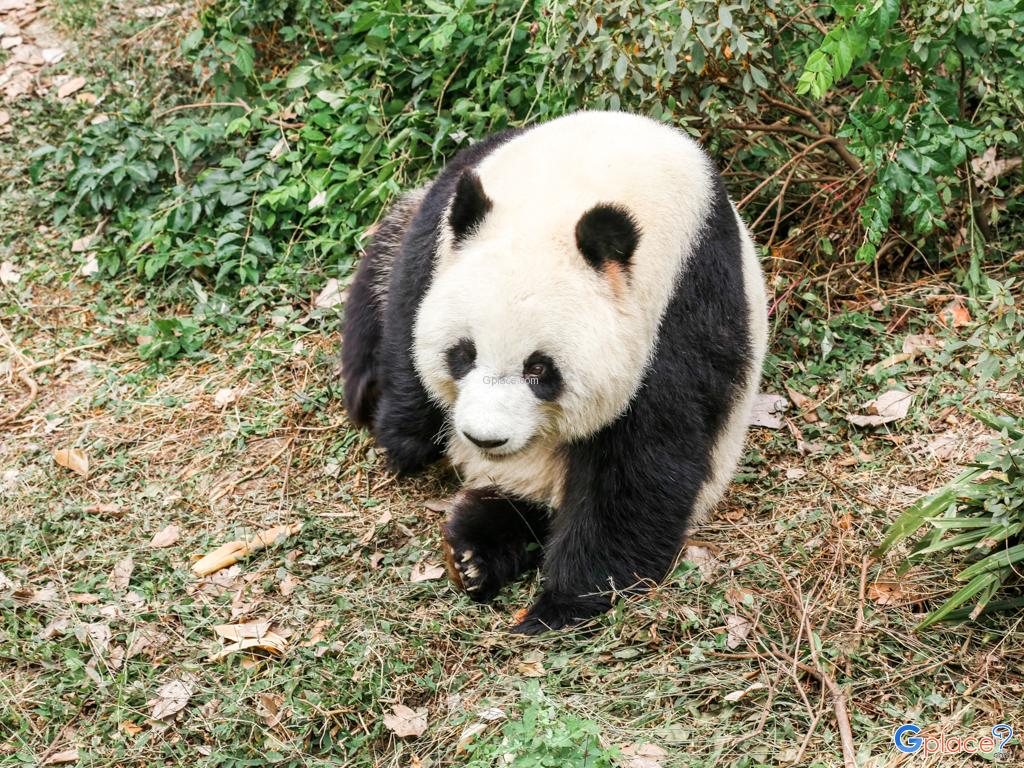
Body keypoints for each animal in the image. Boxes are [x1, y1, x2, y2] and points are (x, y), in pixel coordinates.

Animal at [344, 111, 770, 634]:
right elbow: (407, 303)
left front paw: (560, 605)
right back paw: (470, 552)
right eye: (463, 354)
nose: (485, 438)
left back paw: (478, 548)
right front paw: (404, 439)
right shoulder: (444, 223)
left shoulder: (680, 307)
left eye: (540, 369)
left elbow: (643, 458)